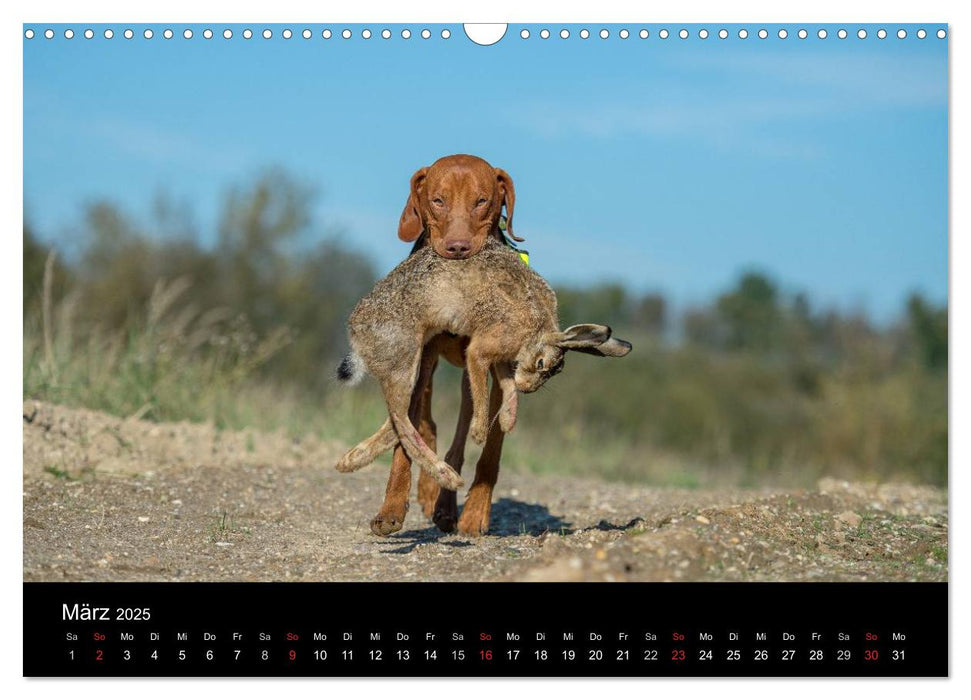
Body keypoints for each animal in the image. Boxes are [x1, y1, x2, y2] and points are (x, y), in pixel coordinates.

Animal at [372, 153, 524, 536]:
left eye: (481, 201)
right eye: (437, 201)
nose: (457, 248)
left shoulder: (496, 369)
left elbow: (491, 448)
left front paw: (475, 512)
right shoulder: (423, 359)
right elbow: (407, 440)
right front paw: (391, 507)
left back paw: (445, 504)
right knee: (427, 425)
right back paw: (430, 492)